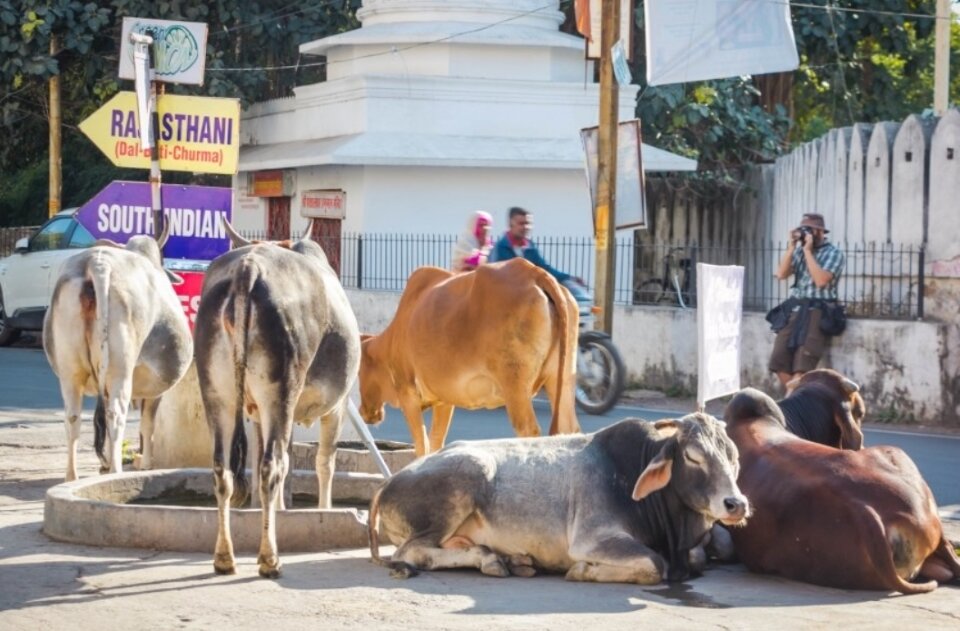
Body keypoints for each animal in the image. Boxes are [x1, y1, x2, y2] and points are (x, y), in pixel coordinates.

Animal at [44, 230, 193, 482]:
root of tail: (97, 263)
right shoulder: (156, 390)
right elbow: (147, 424)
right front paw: (145, 463)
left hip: (70, 372)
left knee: (73, 417)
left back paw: (73, 476)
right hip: (120, 370)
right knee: (116, 413)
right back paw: (115, 471)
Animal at [197, 221, 362, 576]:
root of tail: (248, 267)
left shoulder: (260, 413)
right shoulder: (338, 406)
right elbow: (323, 463)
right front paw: (324, 510)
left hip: (217, 392)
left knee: (224, 468)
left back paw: (224, 557)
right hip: (281, 390)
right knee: (271, 465)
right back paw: (269, 558)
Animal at [358, 260, 576, 456]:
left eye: (358, 371)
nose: (363, 412)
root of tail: (533, 272)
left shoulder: (408, 394)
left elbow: (422, 446)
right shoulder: (443, 400)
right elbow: (436, 442)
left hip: (516, 389)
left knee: (529, 431)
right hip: (562, 380)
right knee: (570, 431)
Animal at [368, 414, 752, 588]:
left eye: (734, 455)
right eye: (693, 456)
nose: (736, 504)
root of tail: (387, 484)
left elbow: (701, 556)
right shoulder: (593, 538)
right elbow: (654, 564)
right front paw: (582, 570)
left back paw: (512, 560)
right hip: (464, 482)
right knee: (412, 553)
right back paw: (492, 560)